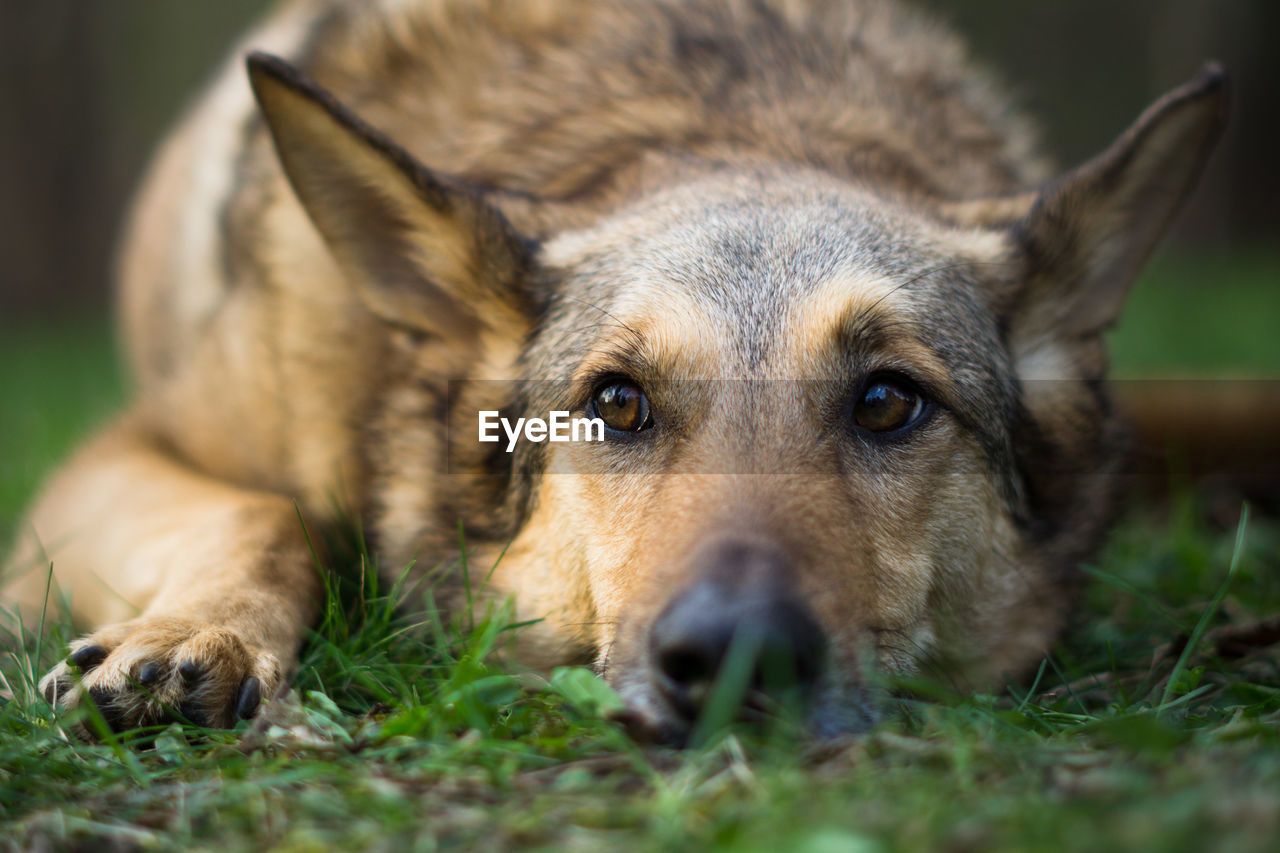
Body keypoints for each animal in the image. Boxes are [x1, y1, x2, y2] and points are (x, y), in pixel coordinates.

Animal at [2, 0, 1228, 742]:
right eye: (617, 403)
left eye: (887, 400)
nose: (733, 656)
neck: (725, 123)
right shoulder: (113, 463)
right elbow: (269, 512)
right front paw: (187, 633)